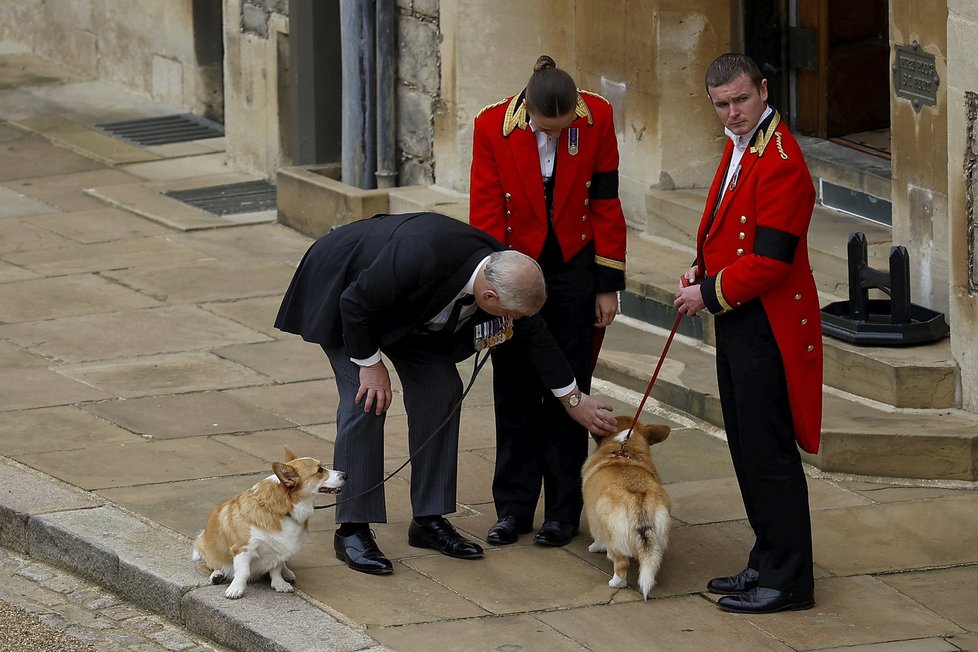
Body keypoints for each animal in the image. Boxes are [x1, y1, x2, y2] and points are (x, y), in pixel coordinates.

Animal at [190, 446, 344, 600]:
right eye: (319, 470)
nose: (346, 475)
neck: (282, 509)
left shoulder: (279, 550)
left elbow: (276, 568)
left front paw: (280, 584)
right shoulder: (243, 548)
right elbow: (243, 572)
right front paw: (236, 589)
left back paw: (287, 572)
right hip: (206, 548)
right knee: (208, 565)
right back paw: (217, 574)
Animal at [580, 416, 672, 600]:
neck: (624, 449)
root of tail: (638, 500)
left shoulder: (595, 518)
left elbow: (598, 538)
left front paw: (594, 547)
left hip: (612, 533)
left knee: (621, 562)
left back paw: (616, 582)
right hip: (657, 538)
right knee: (652, 562)